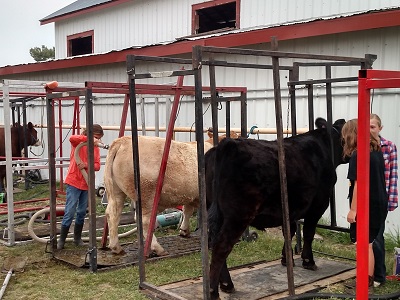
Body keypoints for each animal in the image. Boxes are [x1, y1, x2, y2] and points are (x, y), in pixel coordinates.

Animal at [104, 131, 238, 255]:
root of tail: (123, 141)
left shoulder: (192, 195)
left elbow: (187, 211)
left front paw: (184, 231)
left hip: (117, 192)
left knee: (113, 214)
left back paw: (116, 247)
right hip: (146, 196)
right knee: (144, 221)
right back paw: (158, 248)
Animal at [206, 118, 346, 300]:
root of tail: (227, 145)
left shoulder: (291, 208)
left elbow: (289, 231)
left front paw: (287, 259)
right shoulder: (319, 204)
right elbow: (308, 233)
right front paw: (308, 262)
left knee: (215, 243)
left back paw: (225, 284)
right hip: (238, 214)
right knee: (220, 248)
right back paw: (215, 291)